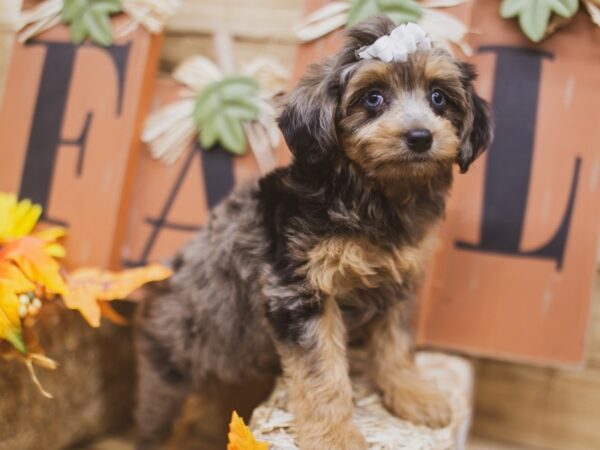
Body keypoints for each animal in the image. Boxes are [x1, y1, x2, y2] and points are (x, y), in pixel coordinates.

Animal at [135, 15, 492, 448]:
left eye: (439, 98)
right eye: (373, 98)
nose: (421, 137)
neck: (370, 195)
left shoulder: (395, 282)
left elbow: (396, 345)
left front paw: (414, 396)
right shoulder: (300, 293)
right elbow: (322, 372)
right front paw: (335, 435)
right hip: (176, 373)